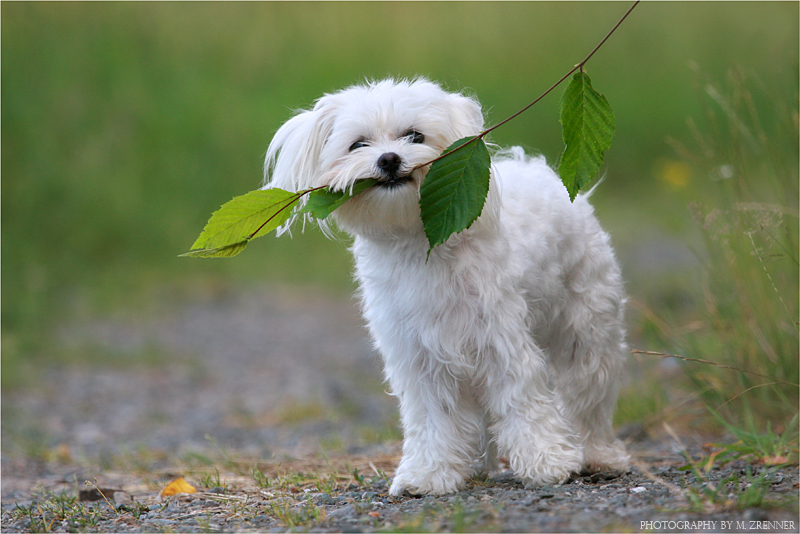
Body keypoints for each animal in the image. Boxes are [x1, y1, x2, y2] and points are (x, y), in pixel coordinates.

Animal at [266, 77, 628, 496]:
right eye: (358, 144)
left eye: (414, 135)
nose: (389, 159)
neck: (419, 244)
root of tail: (535, 168)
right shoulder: (421, 357)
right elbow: (436, 419)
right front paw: (430, 473)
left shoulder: (500, 342)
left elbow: (522, 400)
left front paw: (545, 461)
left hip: (586, 329)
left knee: (588, 399)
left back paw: (600, 456)